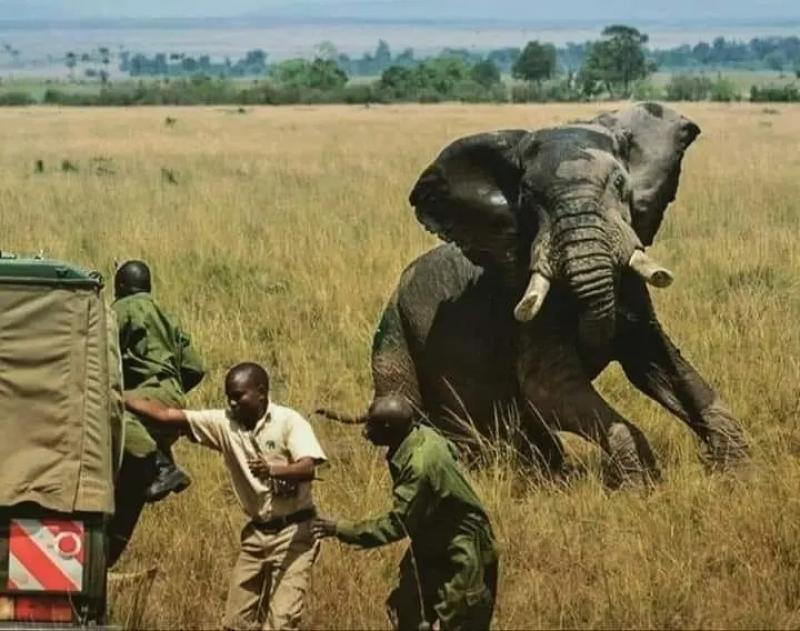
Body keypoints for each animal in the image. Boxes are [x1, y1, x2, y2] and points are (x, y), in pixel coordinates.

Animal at [320, 102, 748, 486]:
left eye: (619, 185)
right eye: (529, 199)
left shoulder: (631, 287)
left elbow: (660, 363)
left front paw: (735, 471)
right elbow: (550, 389)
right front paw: (641, 483)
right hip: (394, 331)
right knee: (404, 406)